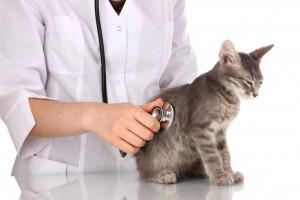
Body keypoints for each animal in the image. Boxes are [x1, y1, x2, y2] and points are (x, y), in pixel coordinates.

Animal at [136, 40, 274, 186]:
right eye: (248, 82)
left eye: (260, 82)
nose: (256, 94)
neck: (227, 97)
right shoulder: (201, 130)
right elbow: (212, 156)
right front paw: (220, 176)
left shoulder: (220, 132)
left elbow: (225, 154)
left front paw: (229, 172)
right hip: (156, 156)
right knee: (146, 174)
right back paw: (163, 174)